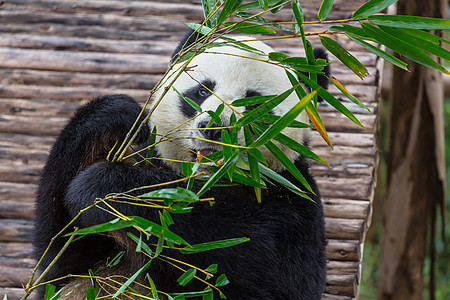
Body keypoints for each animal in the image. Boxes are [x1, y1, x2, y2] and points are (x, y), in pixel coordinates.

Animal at [31, 29, 326, 298]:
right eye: (201, 91)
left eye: (254, 104)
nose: (214, 128)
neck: (206, 182)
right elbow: (61, 261)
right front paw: (119, 116)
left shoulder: (292, 203)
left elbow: (252, 260)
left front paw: (104, 187)